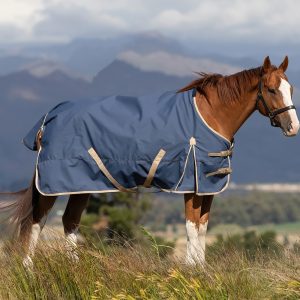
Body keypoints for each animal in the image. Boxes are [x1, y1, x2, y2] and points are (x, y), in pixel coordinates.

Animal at [0, 55, 298, 266]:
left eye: (291, 88)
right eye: (271, 89)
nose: (293, 127)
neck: (210, 115)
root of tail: (49, 117)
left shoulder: (207, 186)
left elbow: (202, 227)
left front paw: (201, 269)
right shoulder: (191, 185)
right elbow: (191, 227)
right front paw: (191, 271)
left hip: (82, 184)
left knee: (70, 221)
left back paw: (74, 267)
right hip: (54, 183)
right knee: (37, 221)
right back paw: (29, 269)